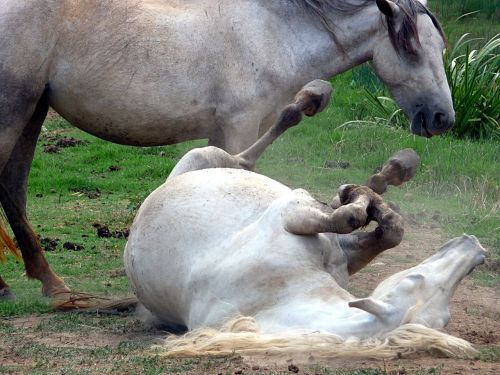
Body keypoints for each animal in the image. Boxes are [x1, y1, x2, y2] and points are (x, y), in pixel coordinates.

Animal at [0, 0, 454, 300]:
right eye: (411, 47)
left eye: (441, 48)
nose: (442, 118)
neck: (274, 35)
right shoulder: (238, 128)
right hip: (14, 109)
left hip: (33, 109)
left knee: (13, 189)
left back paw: (50, 283)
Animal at [124, 81, 484, 358]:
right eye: (414, 279)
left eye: (446, 317)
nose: (475, 247)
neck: (277, 293)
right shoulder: (290, 209)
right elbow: (350, 216)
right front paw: (356, 196)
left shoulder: (337, 255)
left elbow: (389, 230)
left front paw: (369, 200)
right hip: (204, 157)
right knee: (246, 157)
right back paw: (315, 102)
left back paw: (389, 170)